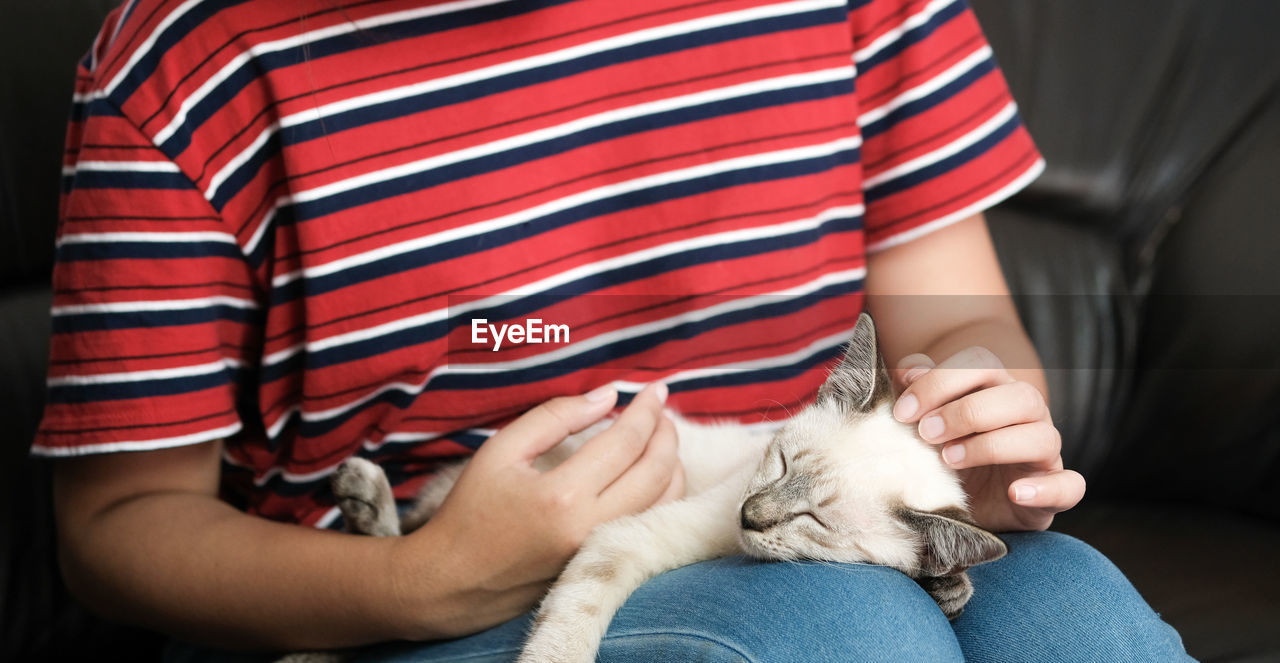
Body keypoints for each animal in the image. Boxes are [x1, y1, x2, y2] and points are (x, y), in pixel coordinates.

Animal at [314, 313, 1003, 663]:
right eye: (780, 464)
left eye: (816, 521)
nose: (750, 515)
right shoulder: (625, 536)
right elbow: (566, 633)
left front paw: (947, 585)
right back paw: (360, 494)